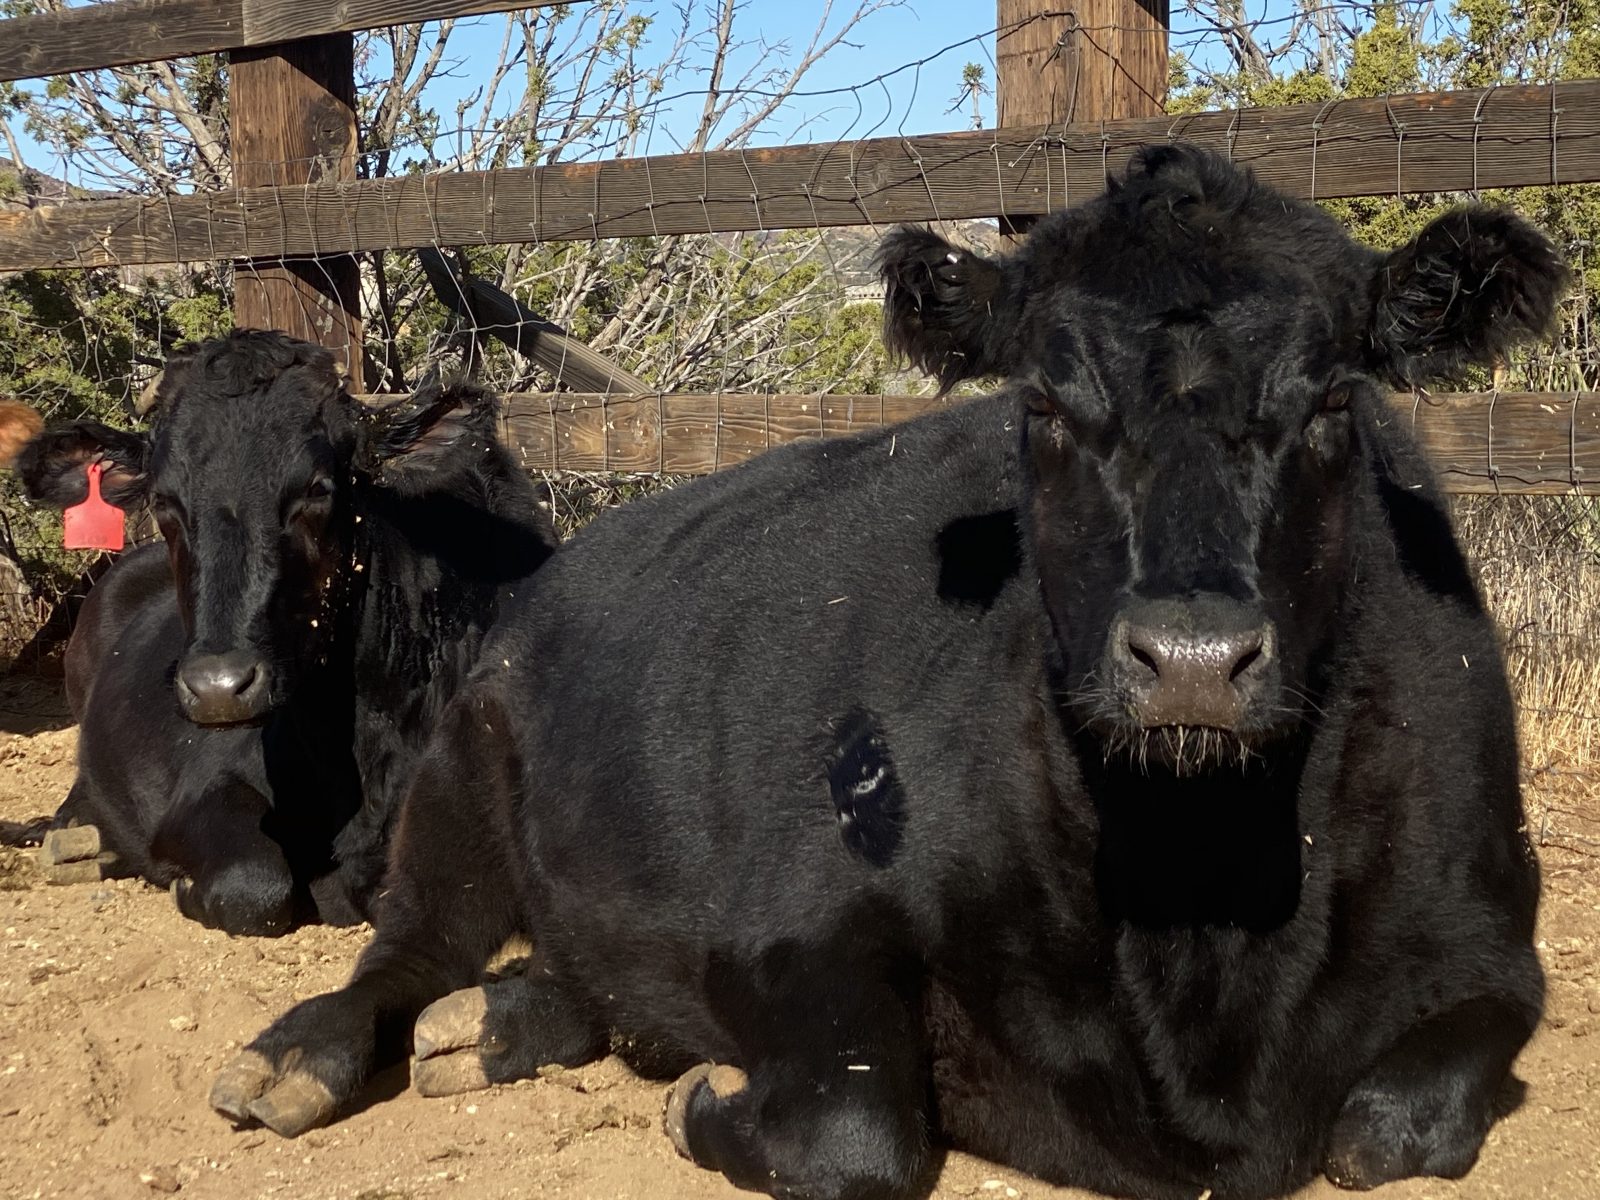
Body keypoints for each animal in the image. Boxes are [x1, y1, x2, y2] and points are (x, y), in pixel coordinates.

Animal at [212, 143, 1561, 1200]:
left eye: (1331, 400)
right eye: (1043, 406)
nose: (1189, 660)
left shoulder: (1494, 951)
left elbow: (1391, 1127)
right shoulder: (792, 925)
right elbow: (857, 1131)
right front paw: (703, 1101)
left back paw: (501, 1023)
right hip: (460, 772)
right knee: (408, 949)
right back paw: (301, 1055)